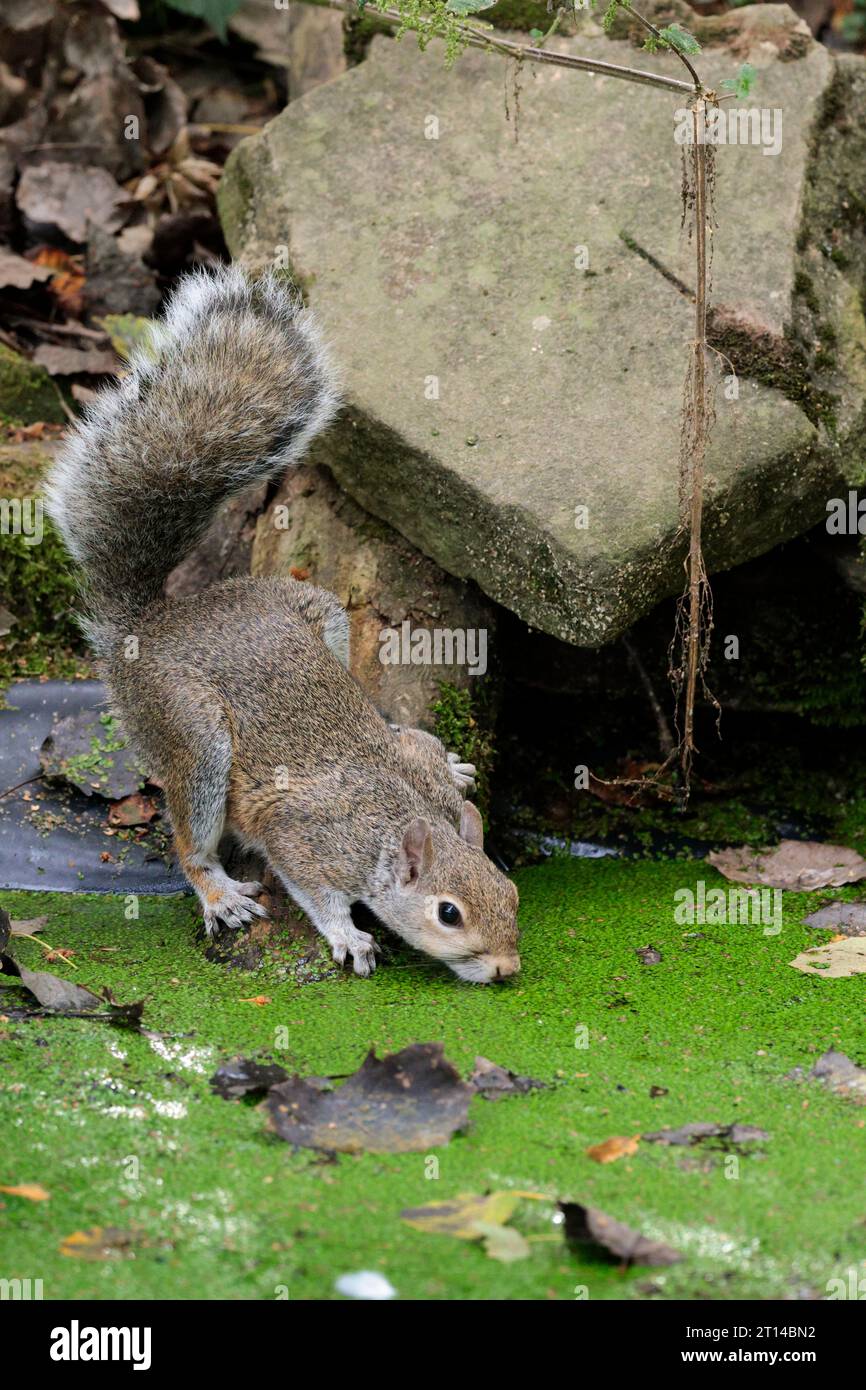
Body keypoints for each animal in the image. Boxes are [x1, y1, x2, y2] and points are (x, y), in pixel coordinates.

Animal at [45, 265, 522, 984]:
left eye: (510, 891)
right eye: (449, 914)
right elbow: (315, 889)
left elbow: (417, 746)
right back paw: (218, 892)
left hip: (321, 613)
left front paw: (450, 761)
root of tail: (147, 627)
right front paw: (349, 936)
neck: (397, 817)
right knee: (189, 836)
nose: (506, 969)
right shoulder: (302, 835)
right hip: (192, 729)